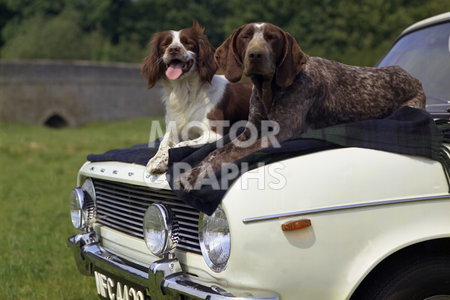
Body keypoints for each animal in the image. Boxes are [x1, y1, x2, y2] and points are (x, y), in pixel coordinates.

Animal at [142, 21, 251, 175]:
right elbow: (163, 144)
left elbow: (179, 145)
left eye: (188, 43)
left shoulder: (214, 133)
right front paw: (156, 160)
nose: (173, 49)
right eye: (165, 44)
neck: (185, 92)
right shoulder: (173, 127)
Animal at [179, 21, 426, 190]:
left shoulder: (279, 134)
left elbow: (228, 156)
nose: (256, 54)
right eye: (246, 36)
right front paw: (195, 169)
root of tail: (413, 78)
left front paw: (199, 175)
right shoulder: (250, 131)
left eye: (271, 37)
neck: (268, 91)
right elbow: (216, 152)